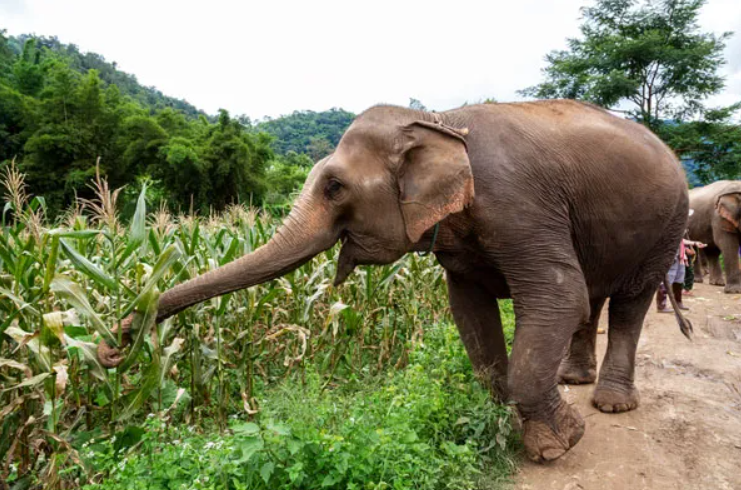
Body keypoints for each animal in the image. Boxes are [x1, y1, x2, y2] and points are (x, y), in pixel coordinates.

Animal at [98, 100, 691, 462]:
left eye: (335, 187)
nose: (113, 342)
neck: (439, 120)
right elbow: (469, 310)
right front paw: (504, 423)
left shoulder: (519, 203)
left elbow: (555, 295)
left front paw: (556, 446)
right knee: (593, 296)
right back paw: (573, 379)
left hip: (668, 226)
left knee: (629, 301)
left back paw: (611, 405)